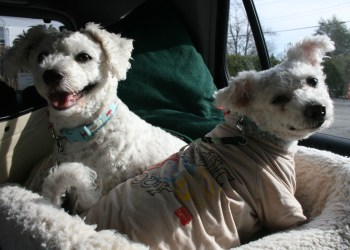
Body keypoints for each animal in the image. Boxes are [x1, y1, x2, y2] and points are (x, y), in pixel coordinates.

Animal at [82, 35, 336, 250]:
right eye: (278, 99)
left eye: (313, 81)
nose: (317, 109)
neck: (254, 134)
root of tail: (89, 223)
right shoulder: (278, 200)